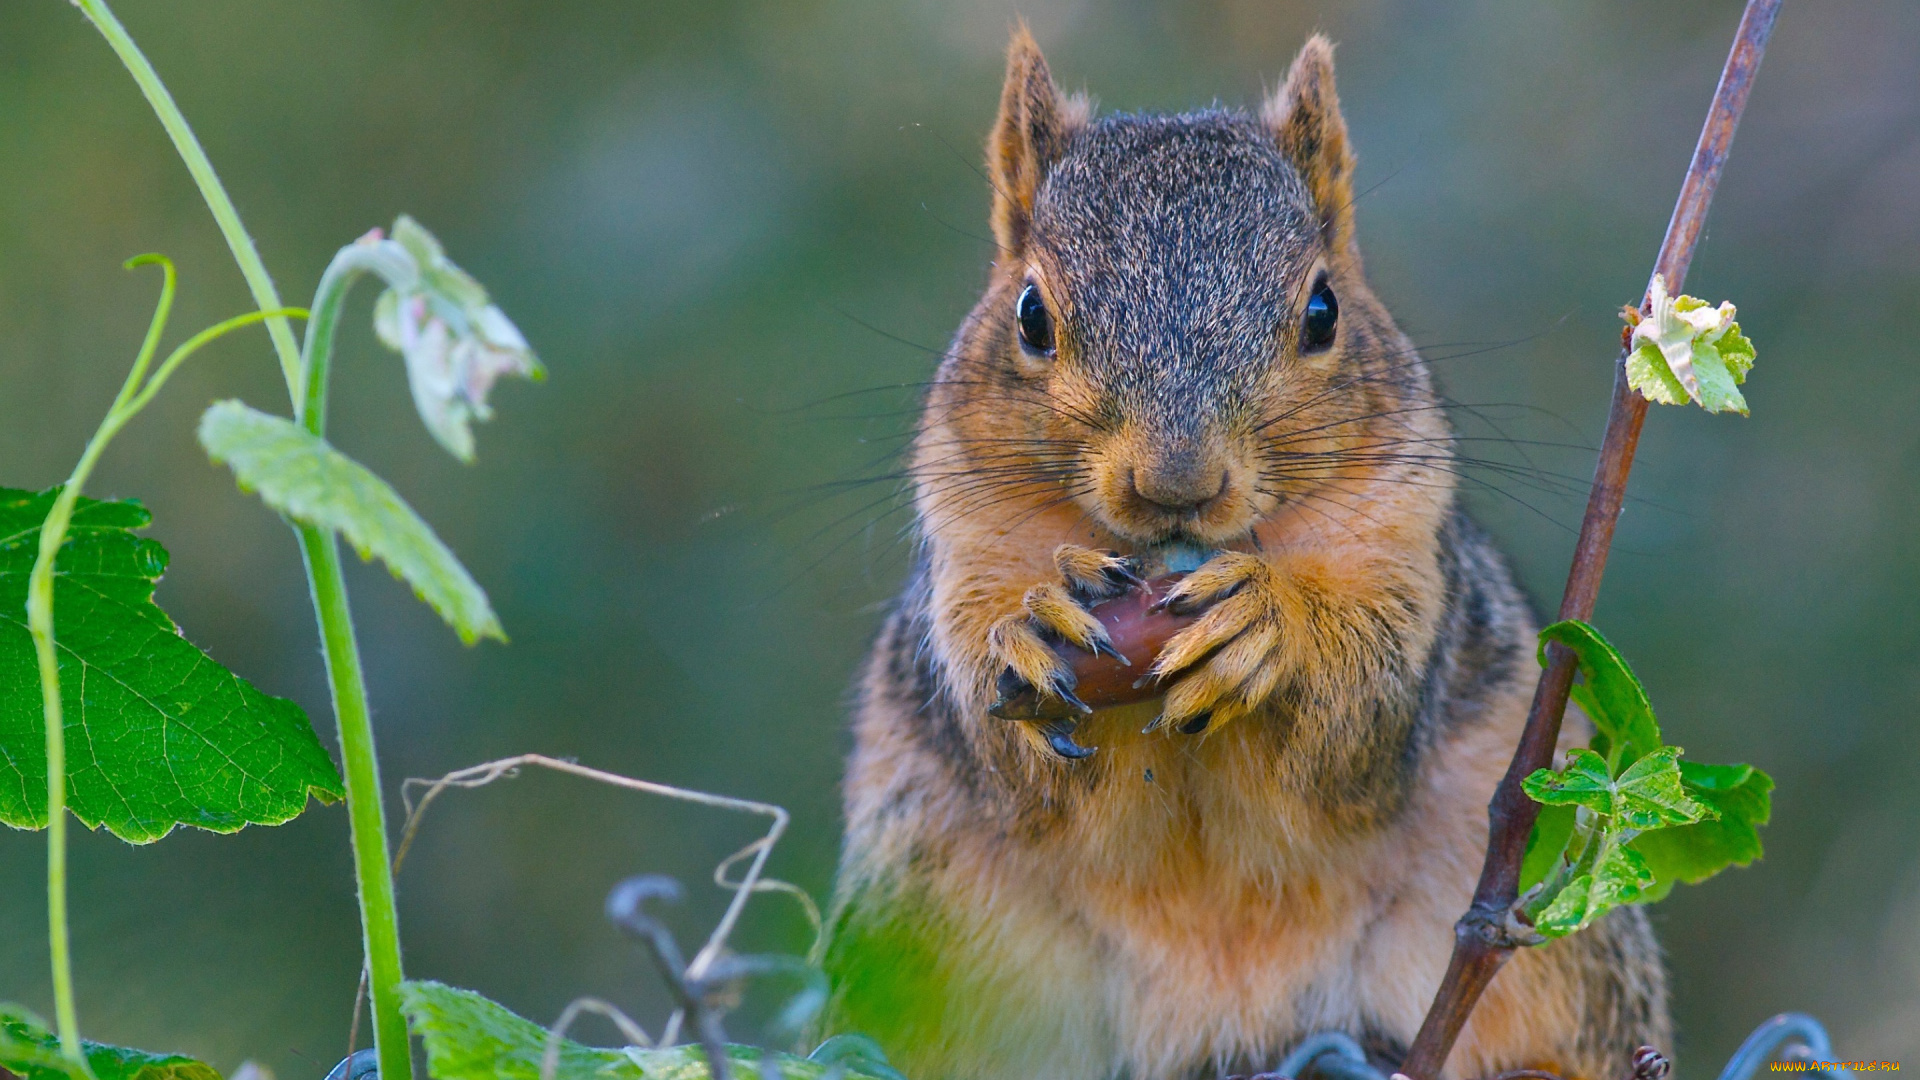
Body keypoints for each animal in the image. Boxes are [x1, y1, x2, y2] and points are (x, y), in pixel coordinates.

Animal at [817, 29, 1674, 1076]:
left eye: (1323, 312)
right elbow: (1011, 757)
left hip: (1568, 962)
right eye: (1030, 316)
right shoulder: (968, 544)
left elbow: (1364, 715)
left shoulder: (1405, 551)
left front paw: (1272, 626)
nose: (1175, 482)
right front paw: (1029, 628)